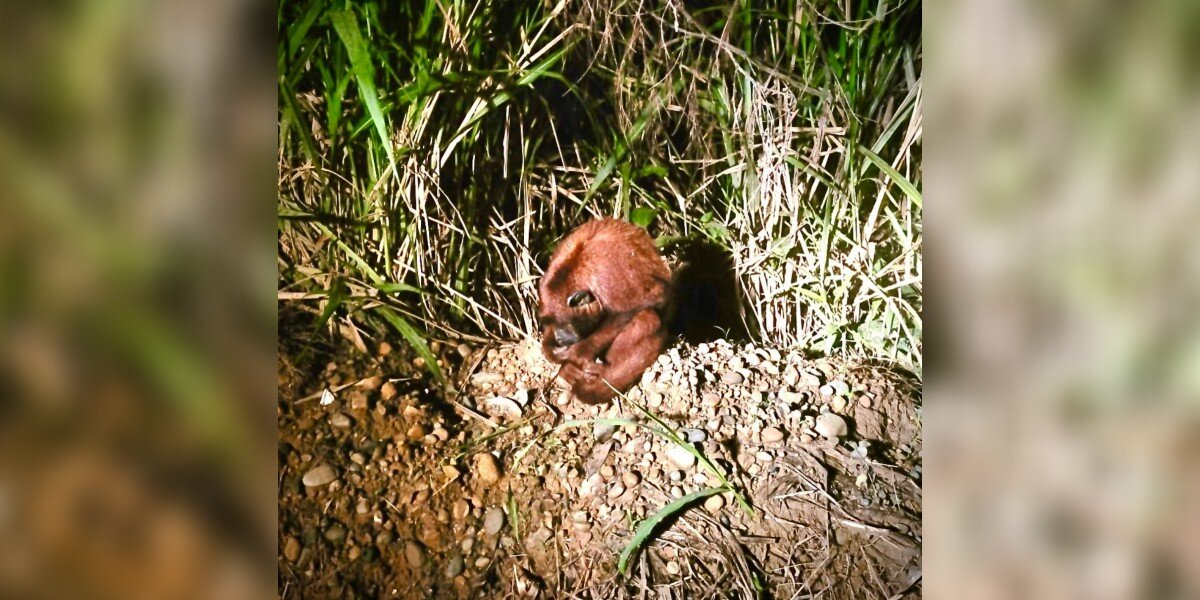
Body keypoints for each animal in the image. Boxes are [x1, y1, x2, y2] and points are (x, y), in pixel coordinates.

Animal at [538, 218, 672, 404]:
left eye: (564, 323)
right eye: (548, 321)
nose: (559, 338)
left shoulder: (607, 274)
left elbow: (643, 302)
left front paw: (578, 353)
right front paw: (552, 351)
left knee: (647, 318)